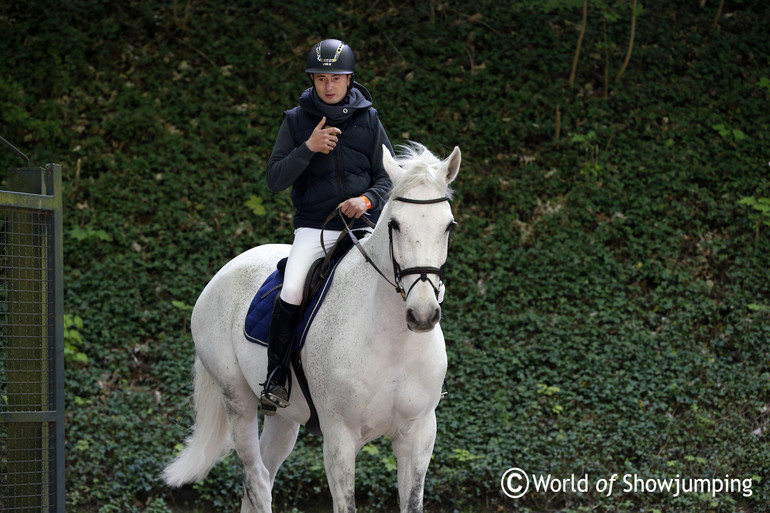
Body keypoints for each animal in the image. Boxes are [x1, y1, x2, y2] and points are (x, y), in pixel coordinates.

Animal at [163, 143, 460, 512]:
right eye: (395, 225)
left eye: (448, 226)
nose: (422, 315)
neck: (393, 341)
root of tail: (224, 271)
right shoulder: (339, 439)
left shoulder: (418, 434)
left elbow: (412, 502)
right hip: (236, 399)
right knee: (257, 481)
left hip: (283, 418)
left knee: (258, 478)